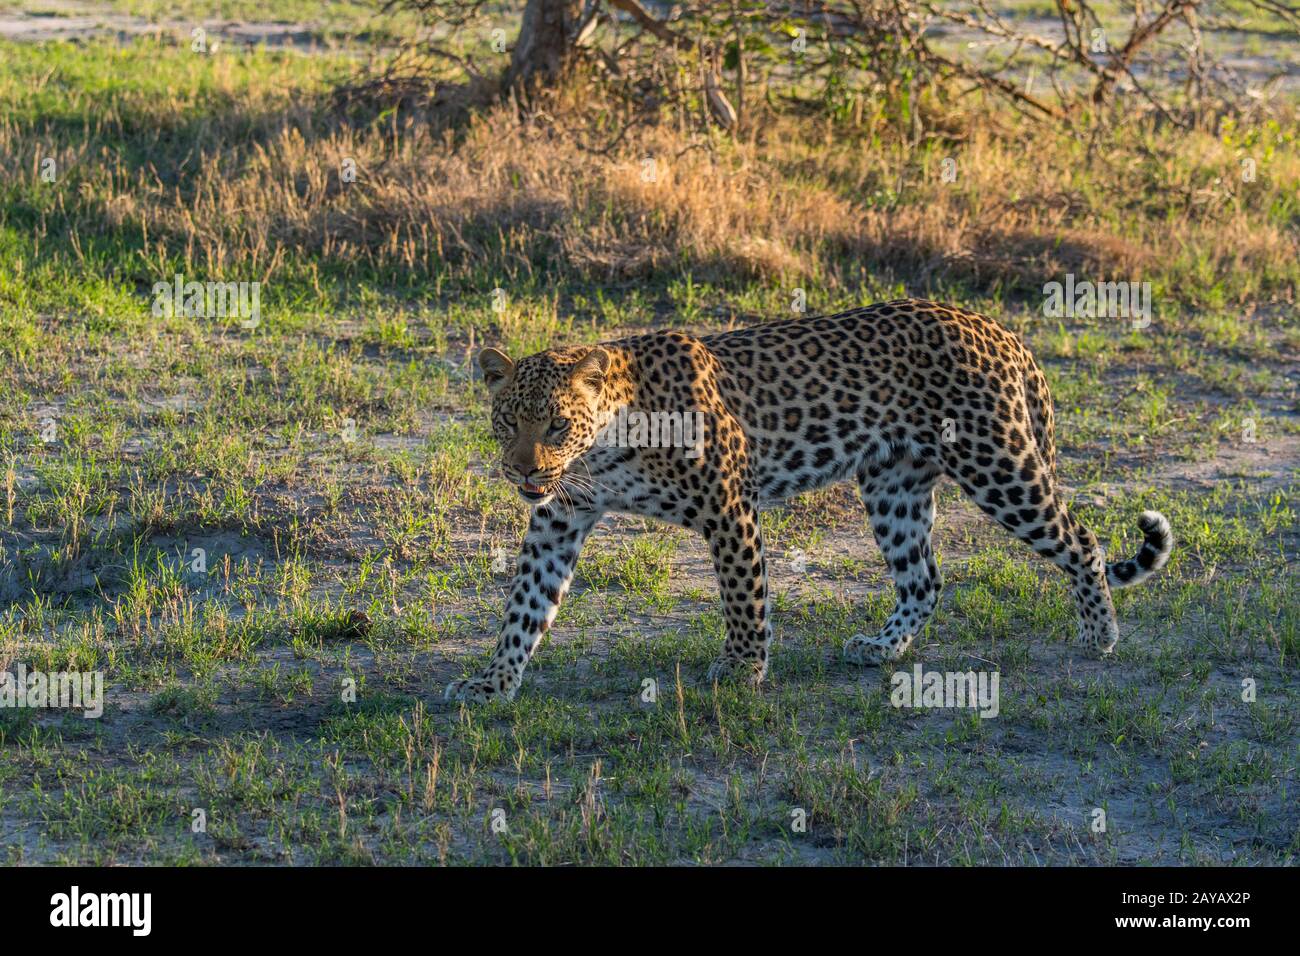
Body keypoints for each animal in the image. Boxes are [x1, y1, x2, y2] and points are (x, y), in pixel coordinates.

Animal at [445, 298, 1173, 703]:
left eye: (555, 425)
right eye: (507, 422)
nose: (521, 470)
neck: (604, 447)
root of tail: (995, 326)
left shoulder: (729, 501)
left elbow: (744, 598)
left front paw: (742, 672)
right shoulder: (559, 515)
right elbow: (525, 605)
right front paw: (494, 681)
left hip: (998, 466)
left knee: (1082, 542)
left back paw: (1100, 634)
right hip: (893, 484)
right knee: (924, 579)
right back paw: (882, 647)